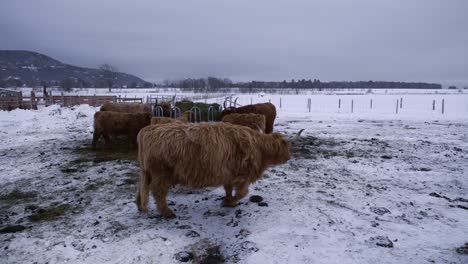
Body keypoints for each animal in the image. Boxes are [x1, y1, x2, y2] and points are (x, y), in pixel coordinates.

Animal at [135, 122, 290, 218]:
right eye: (286, 146)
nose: (289, 156)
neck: (259, 148)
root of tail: (147, 130)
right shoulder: (244, 175)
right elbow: (242, 193)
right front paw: (230, 202)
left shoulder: (229, 174)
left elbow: (229, 189)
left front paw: (228, 200)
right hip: (161, 173)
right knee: (158, 192)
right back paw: (167, 213)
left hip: (147, 172)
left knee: (143, 188)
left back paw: (139, 205)